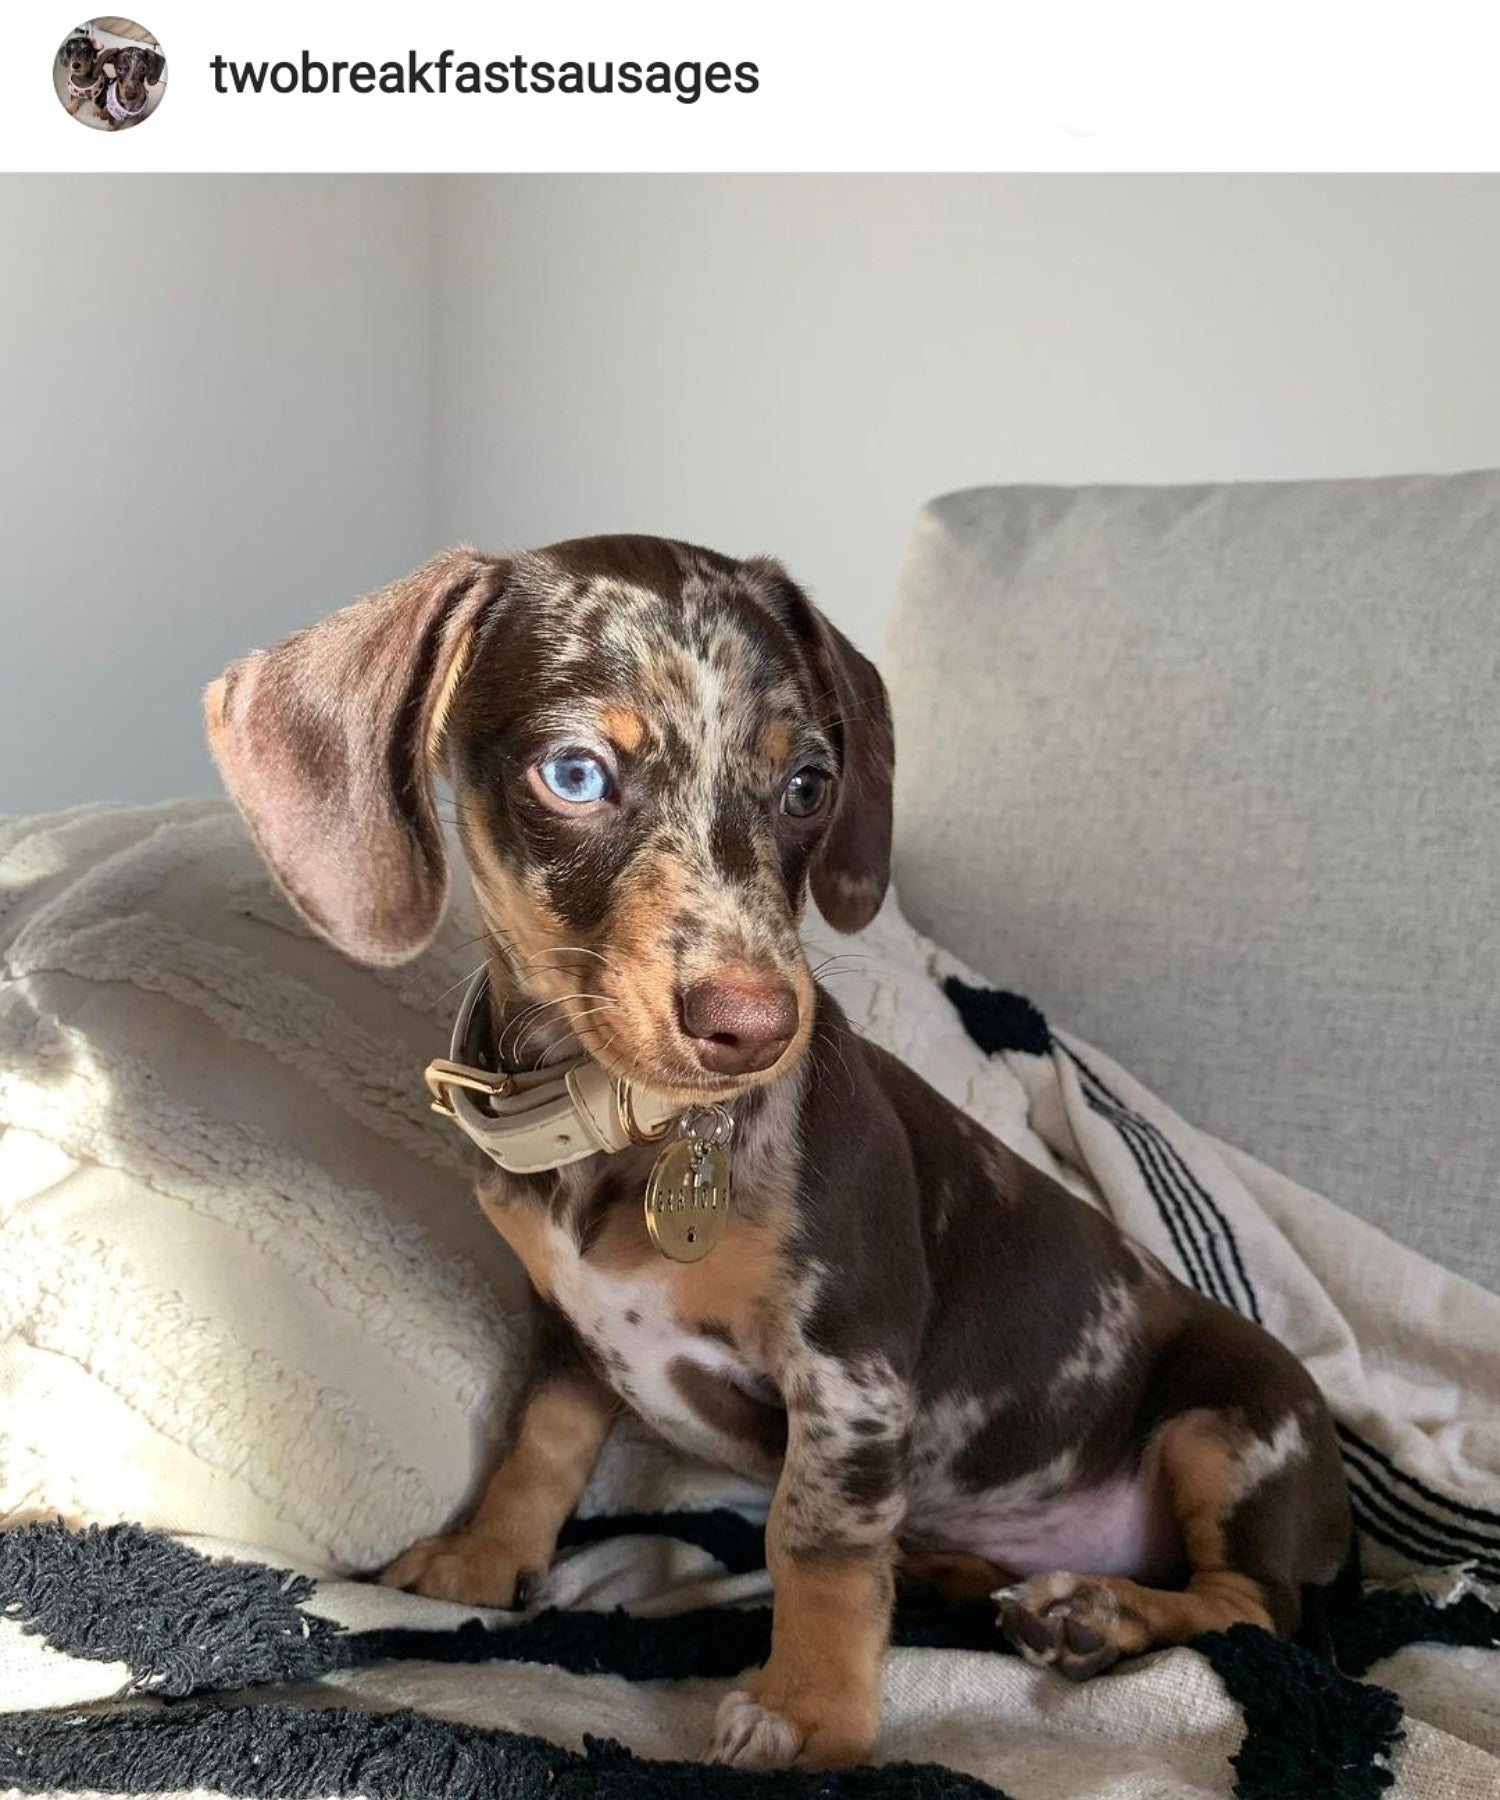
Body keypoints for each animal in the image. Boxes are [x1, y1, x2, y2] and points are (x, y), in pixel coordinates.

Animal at [213, 536, 1354, 1771]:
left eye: (807, 784)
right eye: (573, 774)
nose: (756, 1025)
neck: (633, 1128)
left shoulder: (848, 1365)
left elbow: (814, 1536)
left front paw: (810, 1709)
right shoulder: (568, 1324)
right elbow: (540, 1441)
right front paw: (483, 1556)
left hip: (1232, 1427)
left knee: (1252, 1610)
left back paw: (1096, 1612)